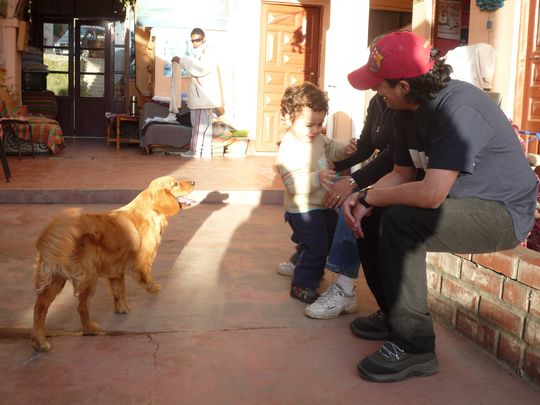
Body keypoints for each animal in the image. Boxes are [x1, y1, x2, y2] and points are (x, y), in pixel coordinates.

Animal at [29, 176, 194, 350]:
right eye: (175, 184)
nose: (194, 182)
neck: (149, 211)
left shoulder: (116, 269)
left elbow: (119, 292)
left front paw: (122, 309)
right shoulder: (141, 262)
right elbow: (146, 278)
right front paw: (154, 288)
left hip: (55, 280)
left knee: (39, 308)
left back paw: (39, 342)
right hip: (89, 278)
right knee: (81, 307)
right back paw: (90, 329)